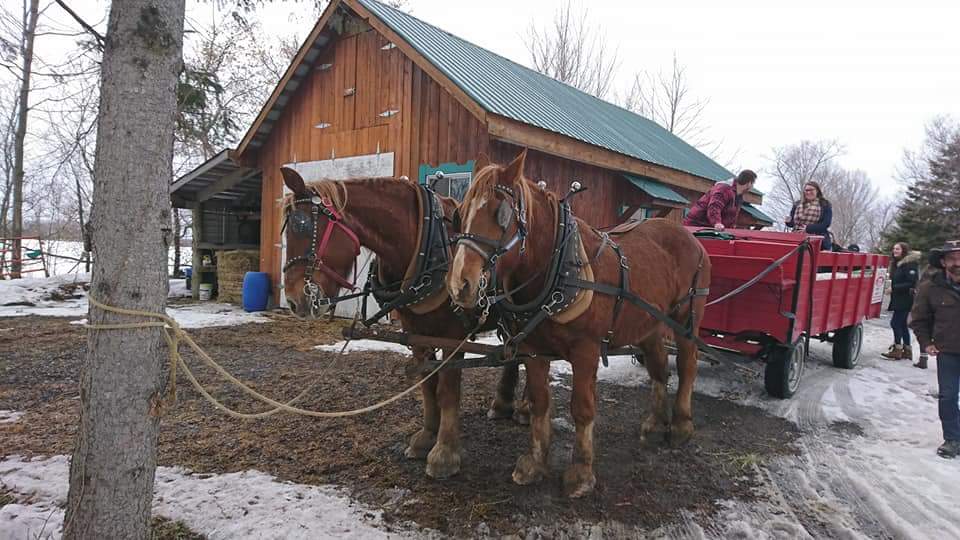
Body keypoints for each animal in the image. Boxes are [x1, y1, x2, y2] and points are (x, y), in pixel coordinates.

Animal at [282, 167, 524, 478]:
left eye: (301, 225)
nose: (294, 300)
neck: (425, 244)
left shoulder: (452, 336)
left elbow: (448, 390)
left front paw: (444, 452)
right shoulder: (416, 334)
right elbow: (427, 384)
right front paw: (426, 437)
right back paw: (505, 404)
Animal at [446, 151, 708, 498]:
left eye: (500, 213)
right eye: (459, 214)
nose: (460, 284)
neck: (558, 266)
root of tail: (691, 238)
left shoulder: (586, 350)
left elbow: (582, 408)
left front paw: (581, 472)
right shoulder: (534, 350)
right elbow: (540, 402)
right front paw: (535, 463)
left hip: (686, 321)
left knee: (688, 365)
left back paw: (680, 425)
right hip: (650, 324)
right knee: (659, 368)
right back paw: (654, 422)